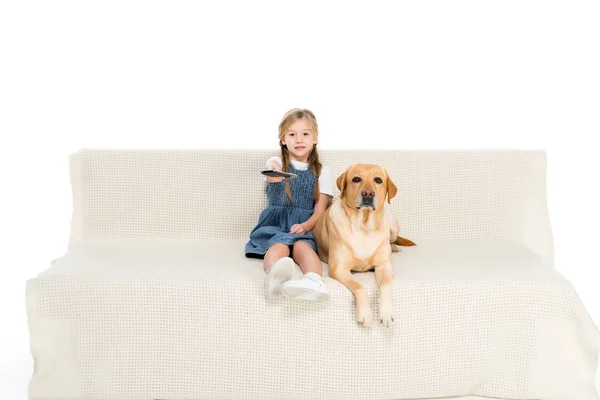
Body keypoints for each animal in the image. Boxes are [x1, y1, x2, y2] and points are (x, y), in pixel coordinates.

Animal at [312, 162, 414, 328]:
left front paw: (386, 313)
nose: (368, 194)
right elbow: (359, 286)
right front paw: (365, 314)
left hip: (393, 224)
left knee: (393, 238)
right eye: (356, 179)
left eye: (378, 180)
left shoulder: (384, 266)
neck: (364, 227)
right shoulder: (338, 269)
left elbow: (385, 286)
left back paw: (394, 246)